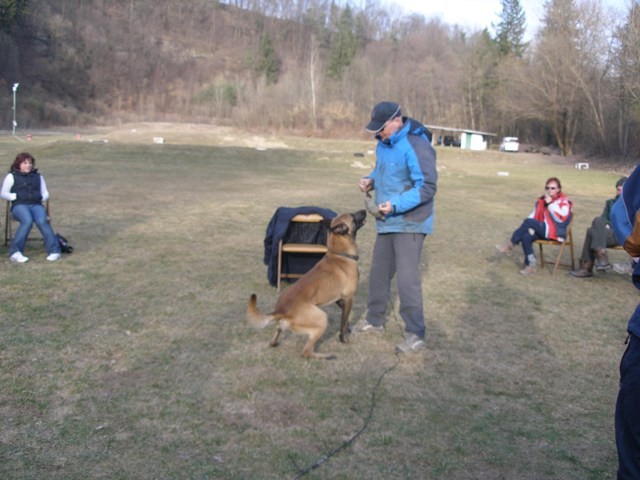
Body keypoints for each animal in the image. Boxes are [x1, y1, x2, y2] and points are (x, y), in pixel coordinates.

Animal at [246, 208, 368, 358]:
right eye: (352, 215)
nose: (364, 210)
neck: (339, 254)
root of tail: (281, 310)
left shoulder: (340, 300)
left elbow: (346, 320)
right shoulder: (348, 298)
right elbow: (343, 323)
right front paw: (344, 339)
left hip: (284, 325)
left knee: (274, 338)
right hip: (322, 318)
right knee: (306, 352)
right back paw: (327, 356)